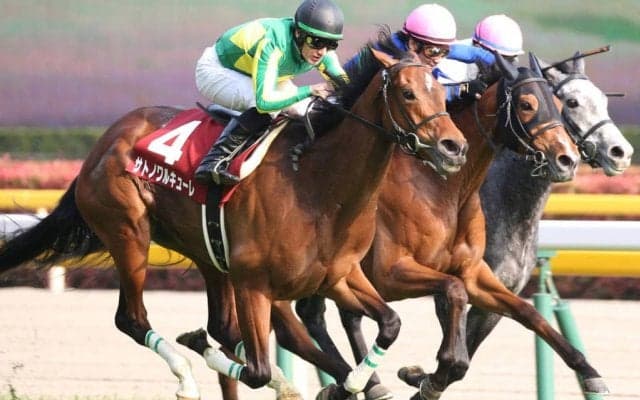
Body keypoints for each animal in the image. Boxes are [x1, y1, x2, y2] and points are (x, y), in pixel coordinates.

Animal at [0, 46, 468, 400]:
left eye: (443, 94)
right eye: (407, 93)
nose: (454, 147)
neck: (316, 185)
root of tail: (102, 144)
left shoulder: (338, 275)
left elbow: (391, 322)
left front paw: (361, 382)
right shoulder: (255, 283)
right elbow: (258, 368)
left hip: (208, 250)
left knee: (228, 326)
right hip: (129, 233)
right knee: (132, 319)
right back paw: (187, 376)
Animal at [293, 52, 613, 400]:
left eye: (556, 103)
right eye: (529, 104)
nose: (567, 158)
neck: (445, 190)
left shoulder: (477, 274)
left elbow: (527, 313)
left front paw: (590, 372)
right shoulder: (392, 273)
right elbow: (455, 303)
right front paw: (427, 376)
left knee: (317, 313)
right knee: (315, 314)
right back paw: (357, 383)